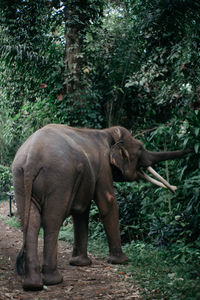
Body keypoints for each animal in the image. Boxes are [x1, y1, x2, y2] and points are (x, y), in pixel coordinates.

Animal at [11, 124, 192, 290]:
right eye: (140, 148)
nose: (175, 189)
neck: (107, 132)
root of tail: (32, 158)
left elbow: (81, 210)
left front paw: (80, 263)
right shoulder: (104, 167)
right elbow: (108, 202)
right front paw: (122, 261)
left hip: (20, 178)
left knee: (31, 223)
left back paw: (32, 285)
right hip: (59, 178)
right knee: (51, 222)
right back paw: (53, 280)